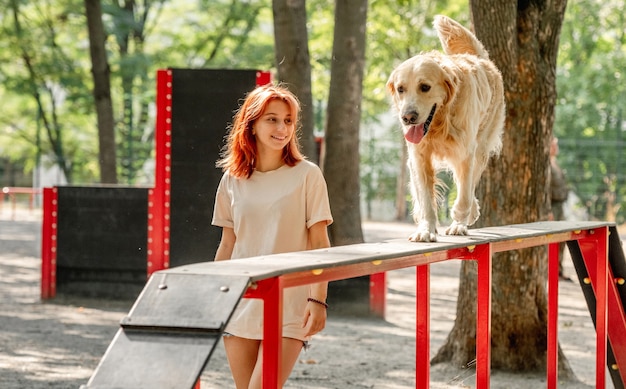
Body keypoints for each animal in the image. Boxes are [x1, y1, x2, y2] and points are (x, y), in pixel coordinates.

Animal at [386, 16, 502, 241]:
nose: (408, 117)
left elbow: (464, 196)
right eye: (401, 89)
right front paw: (425, 229)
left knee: (471, 184)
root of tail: (478, 57)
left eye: (425, 87)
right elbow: (425, 199)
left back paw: (468, 216)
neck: (440, 121)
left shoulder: (466, 153)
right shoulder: (419, 156)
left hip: (482, 146)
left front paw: (459, 222)